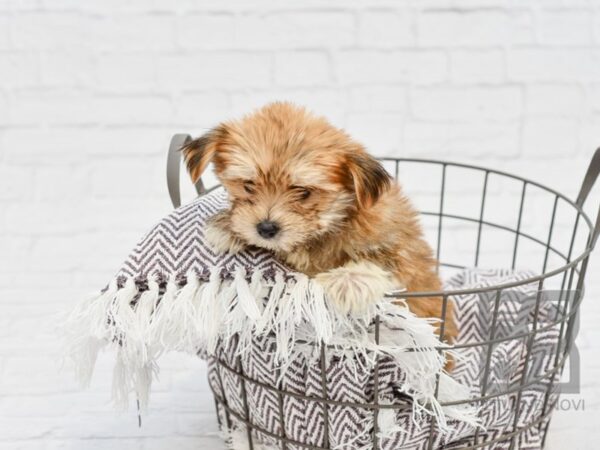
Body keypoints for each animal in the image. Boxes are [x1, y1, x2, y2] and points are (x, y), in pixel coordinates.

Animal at [183, 103, 460, 348]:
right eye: (248, 185)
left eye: (304, 192)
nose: (266, 228)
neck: (331, 225)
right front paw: (226, 227)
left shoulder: (402, 252)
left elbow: (385, 261)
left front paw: (348, 280)